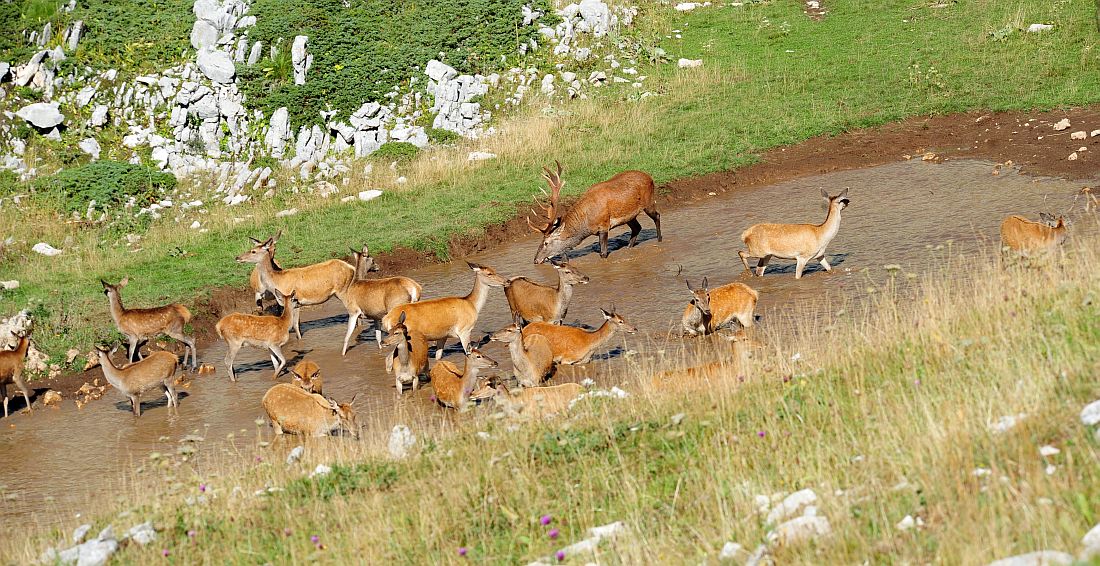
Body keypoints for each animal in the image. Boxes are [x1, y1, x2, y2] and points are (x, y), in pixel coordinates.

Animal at [525, 160, 655, 264]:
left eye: (546, 243)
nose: (535, 260)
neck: (587, 223)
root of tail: (650, 177)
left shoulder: (603, 225)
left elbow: (603, 253)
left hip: (648, 203)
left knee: (655, 217)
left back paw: (658, 240)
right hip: (630, 216)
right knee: (637, 227)